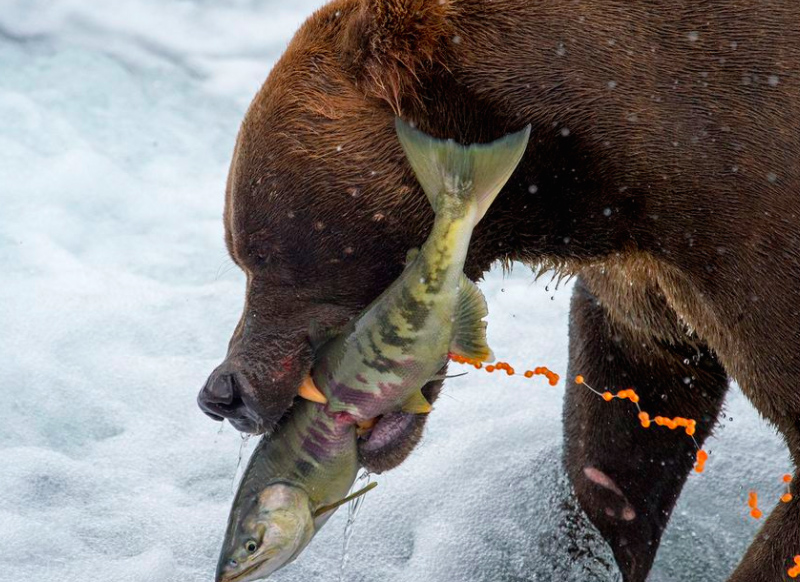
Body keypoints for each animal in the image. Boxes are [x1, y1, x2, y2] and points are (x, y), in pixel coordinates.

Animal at [195, 2, 800, 580]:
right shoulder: (649, 286)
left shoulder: (749, 235)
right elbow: (620, 440)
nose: (223, 393)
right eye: (241, 251)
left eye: (259, 252)